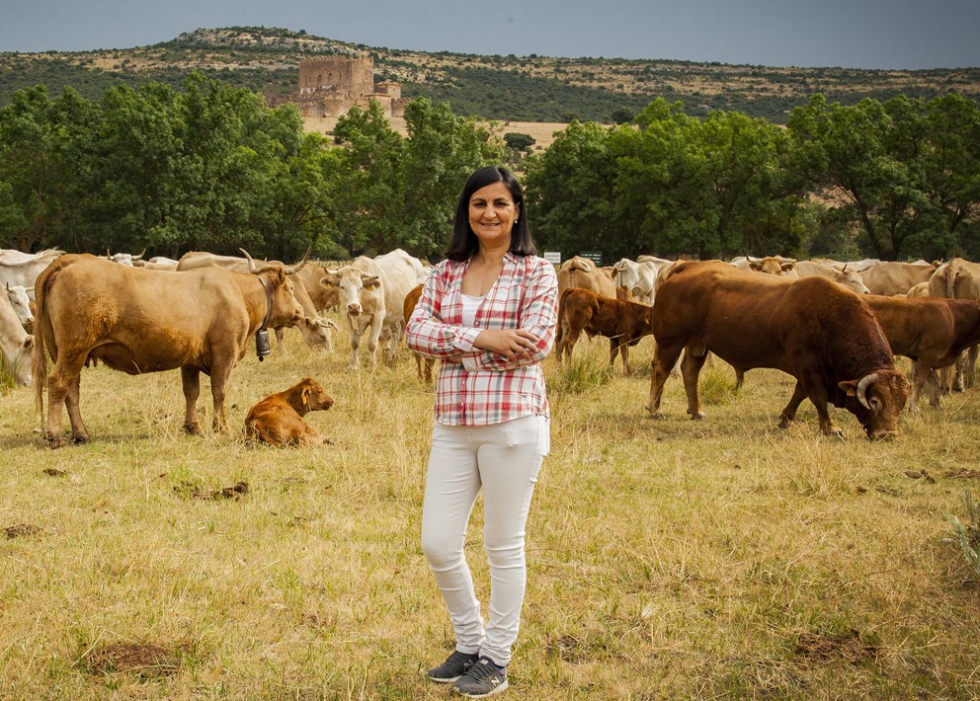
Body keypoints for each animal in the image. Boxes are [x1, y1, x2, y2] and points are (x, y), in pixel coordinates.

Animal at [32, 254, 304, 446]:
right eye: (291, 288)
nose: (300, 311)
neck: (238, 291)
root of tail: (72, 259)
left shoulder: (190, 359)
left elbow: (191, 393)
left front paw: (193, 426)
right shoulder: (224, 352)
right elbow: (219, 392)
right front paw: (221, 426)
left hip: (64, 351)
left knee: (71, 391)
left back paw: (81, 433)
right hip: (74, 349)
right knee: (58, 383)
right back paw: (55, 435)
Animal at [652, 262, 912, 438]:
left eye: (901, 404)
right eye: (875, 400)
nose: (888, 435)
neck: (832, 316)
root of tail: (686, 266)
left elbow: (800, 393)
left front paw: (786, 418)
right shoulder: (808, 365)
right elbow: (817, 396)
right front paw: (830, 428)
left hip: (697, 344)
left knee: (690, 371)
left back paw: (696, 410)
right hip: (670, 342)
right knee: (661, 371)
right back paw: (654, 410)